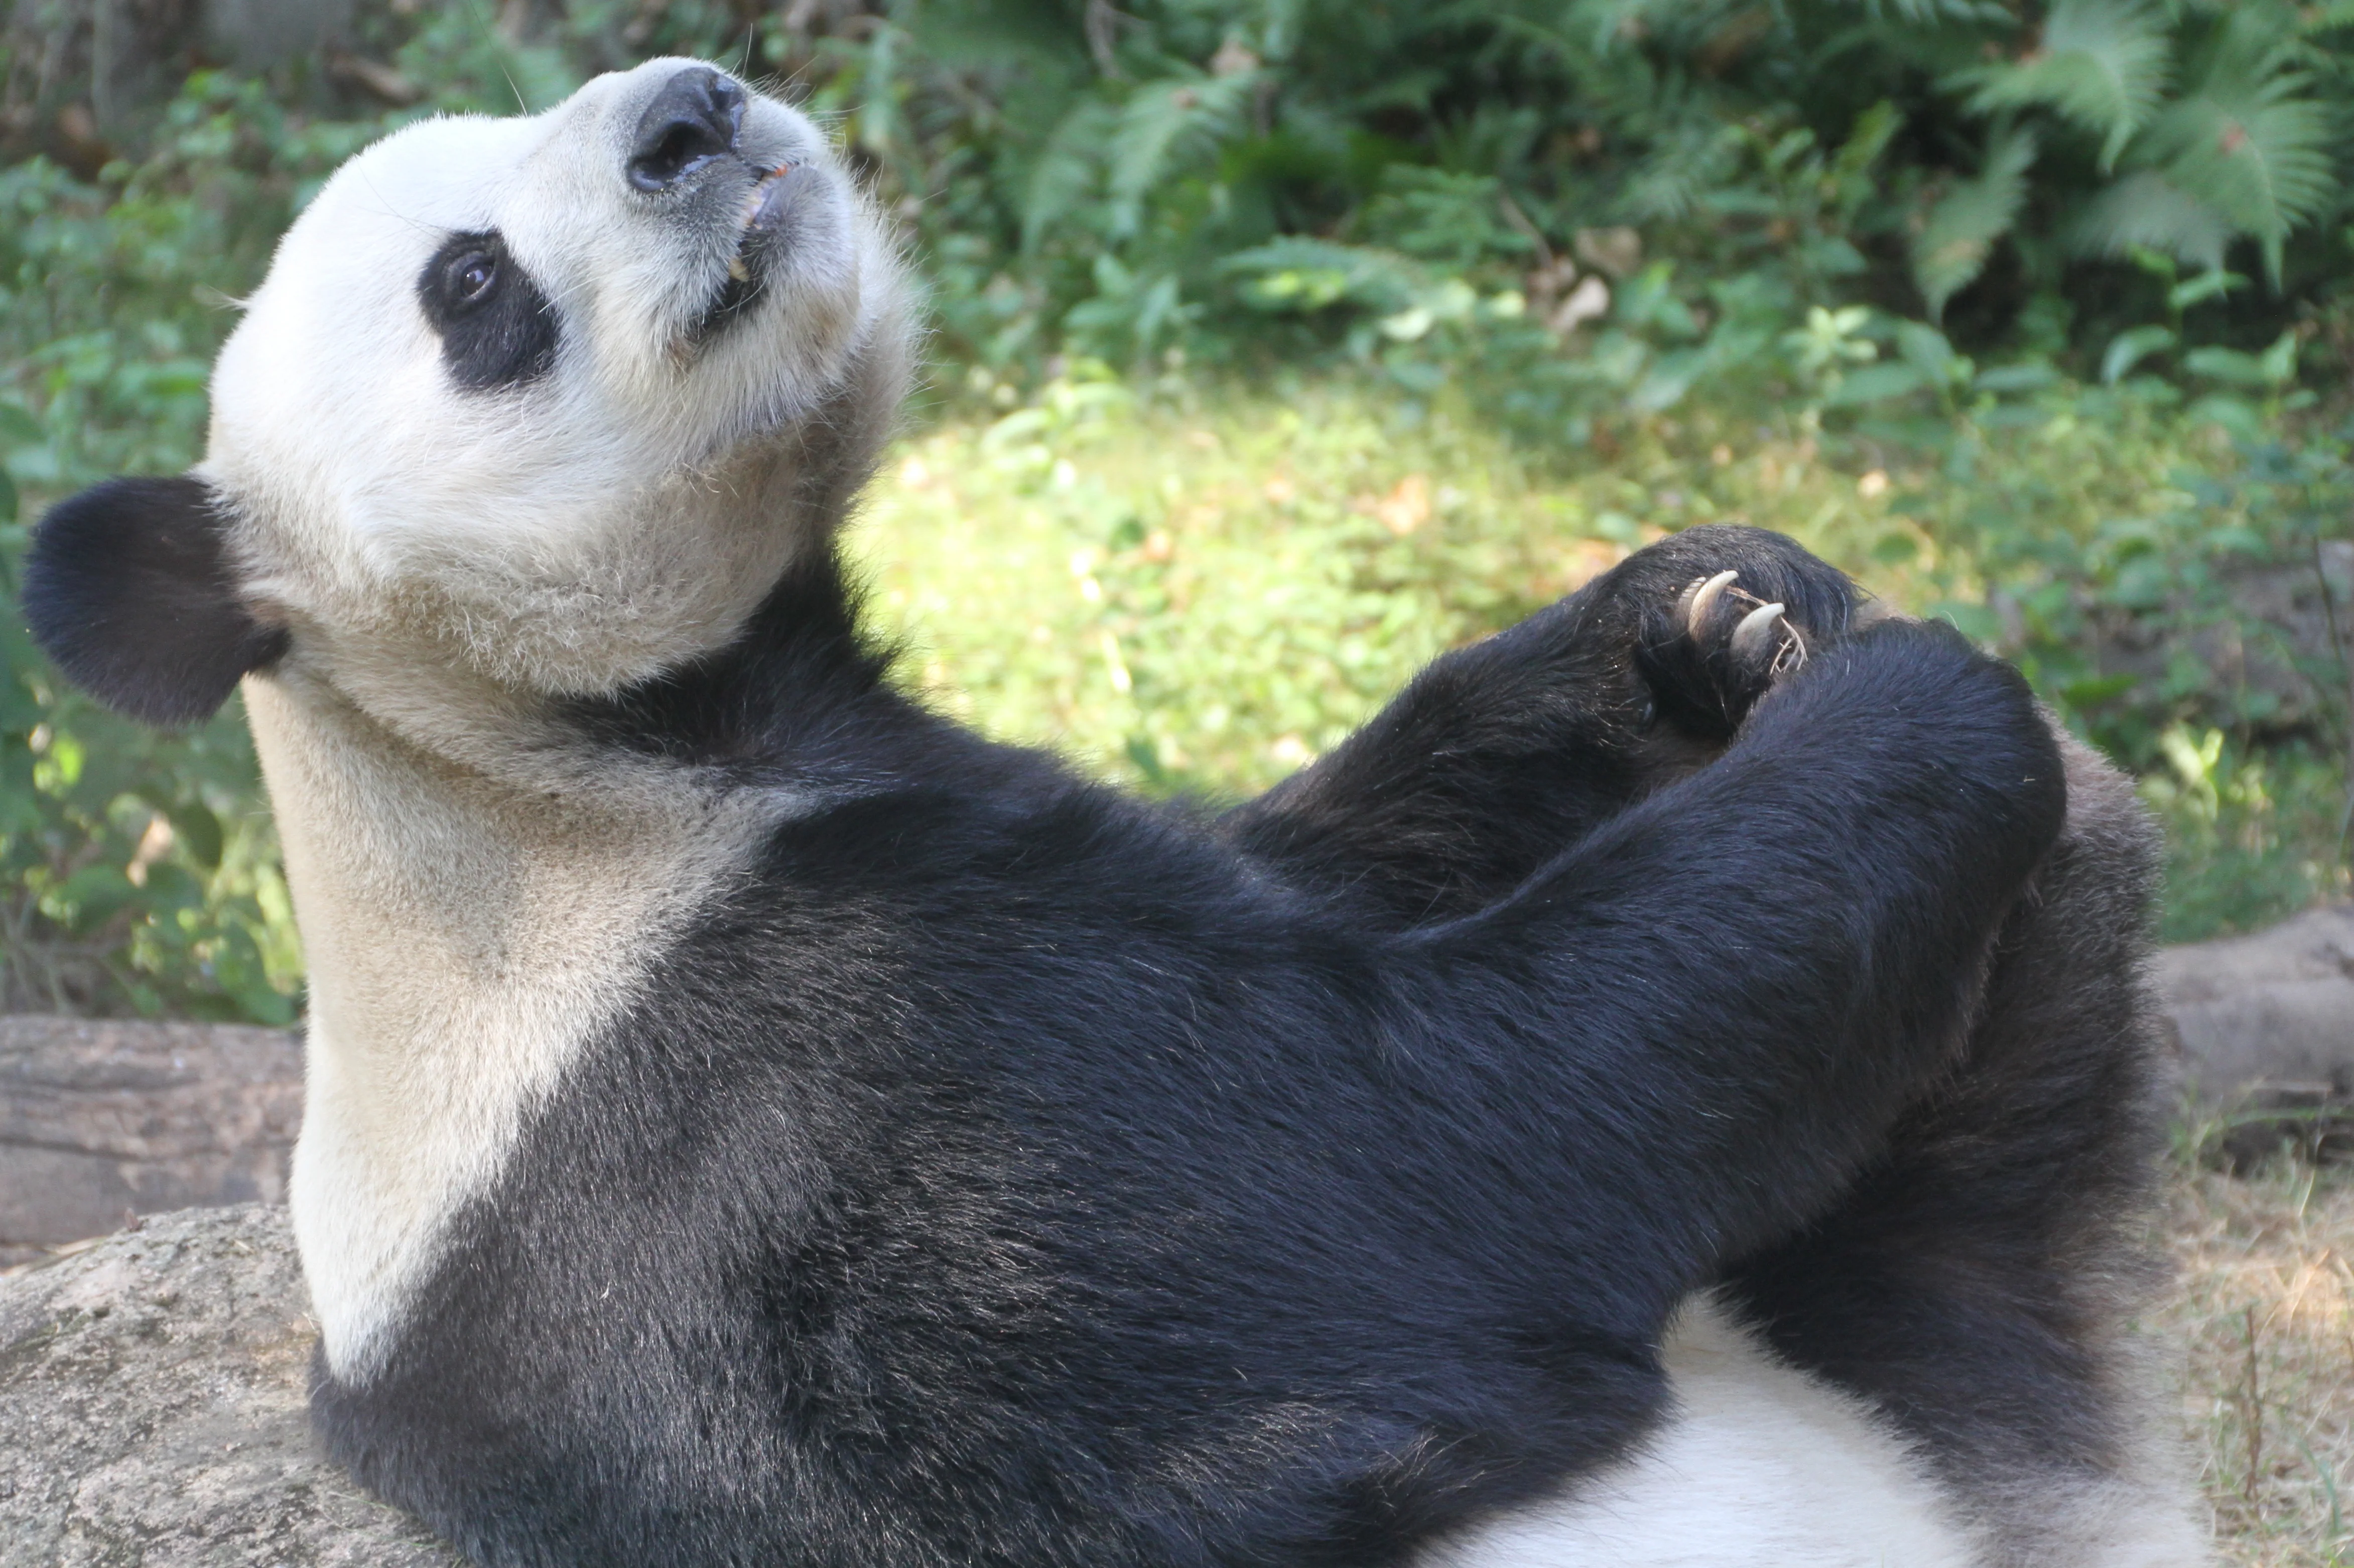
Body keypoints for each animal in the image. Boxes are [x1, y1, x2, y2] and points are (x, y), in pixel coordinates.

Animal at [20, 57, 2204, 1568]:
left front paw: (1703, 612)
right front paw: (1897, 699)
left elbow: (1331, 841)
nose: (690, 109)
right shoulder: (791, 1095)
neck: (521, 776)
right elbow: (1463, 1139)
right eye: (469, 283)